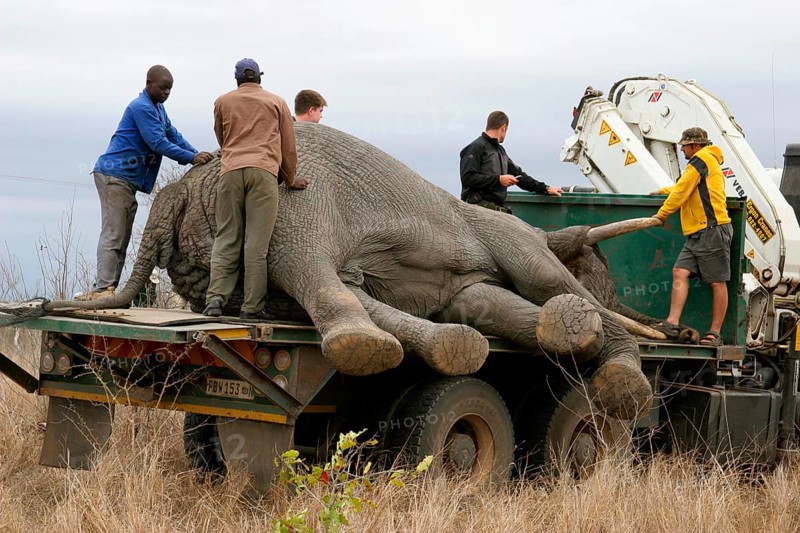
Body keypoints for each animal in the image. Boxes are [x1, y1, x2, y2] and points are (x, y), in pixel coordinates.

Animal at [44, 122, 655, 420]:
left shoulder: (298, 208)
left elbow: (322, 275)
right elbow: (346, 289)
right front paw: (435, 349)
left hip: (507, 238)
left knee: (542, 283)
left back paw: (616, 369)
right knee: (485, 302)